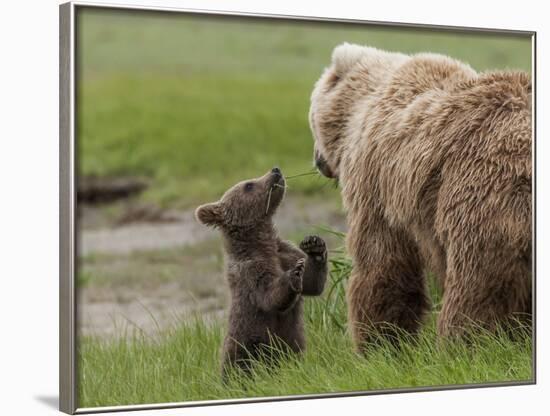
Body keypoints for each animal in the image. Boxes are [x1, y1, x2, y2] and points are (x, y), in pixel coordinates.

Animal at [308, 43, 532, 352]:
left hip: (483, 193)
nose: (318, 161)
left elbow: (382, 260)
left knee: (478, 286)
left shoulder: (375, 180)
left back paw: (465, 344)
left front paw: (380, 343)